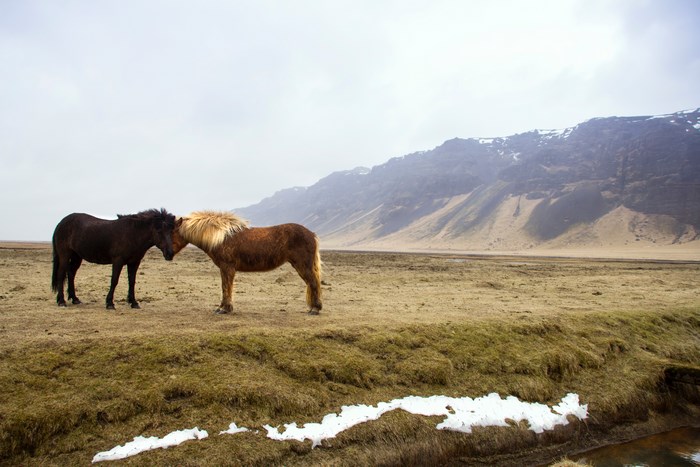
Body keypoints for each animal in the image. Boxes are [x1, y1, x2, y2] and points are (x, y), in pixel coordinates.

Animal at [172, 210, 323, 314]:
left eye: (173, 232)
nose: (169, 254)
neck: (221, 237)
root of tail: (312, 234)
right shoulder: (225, 269)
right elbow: (225, 287)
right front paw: (222, 307)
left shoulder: (227, 268)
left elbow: (226, 287)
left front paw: (225, 309)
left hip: (303, 266)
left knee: (313, 283)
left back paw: (315, 309)